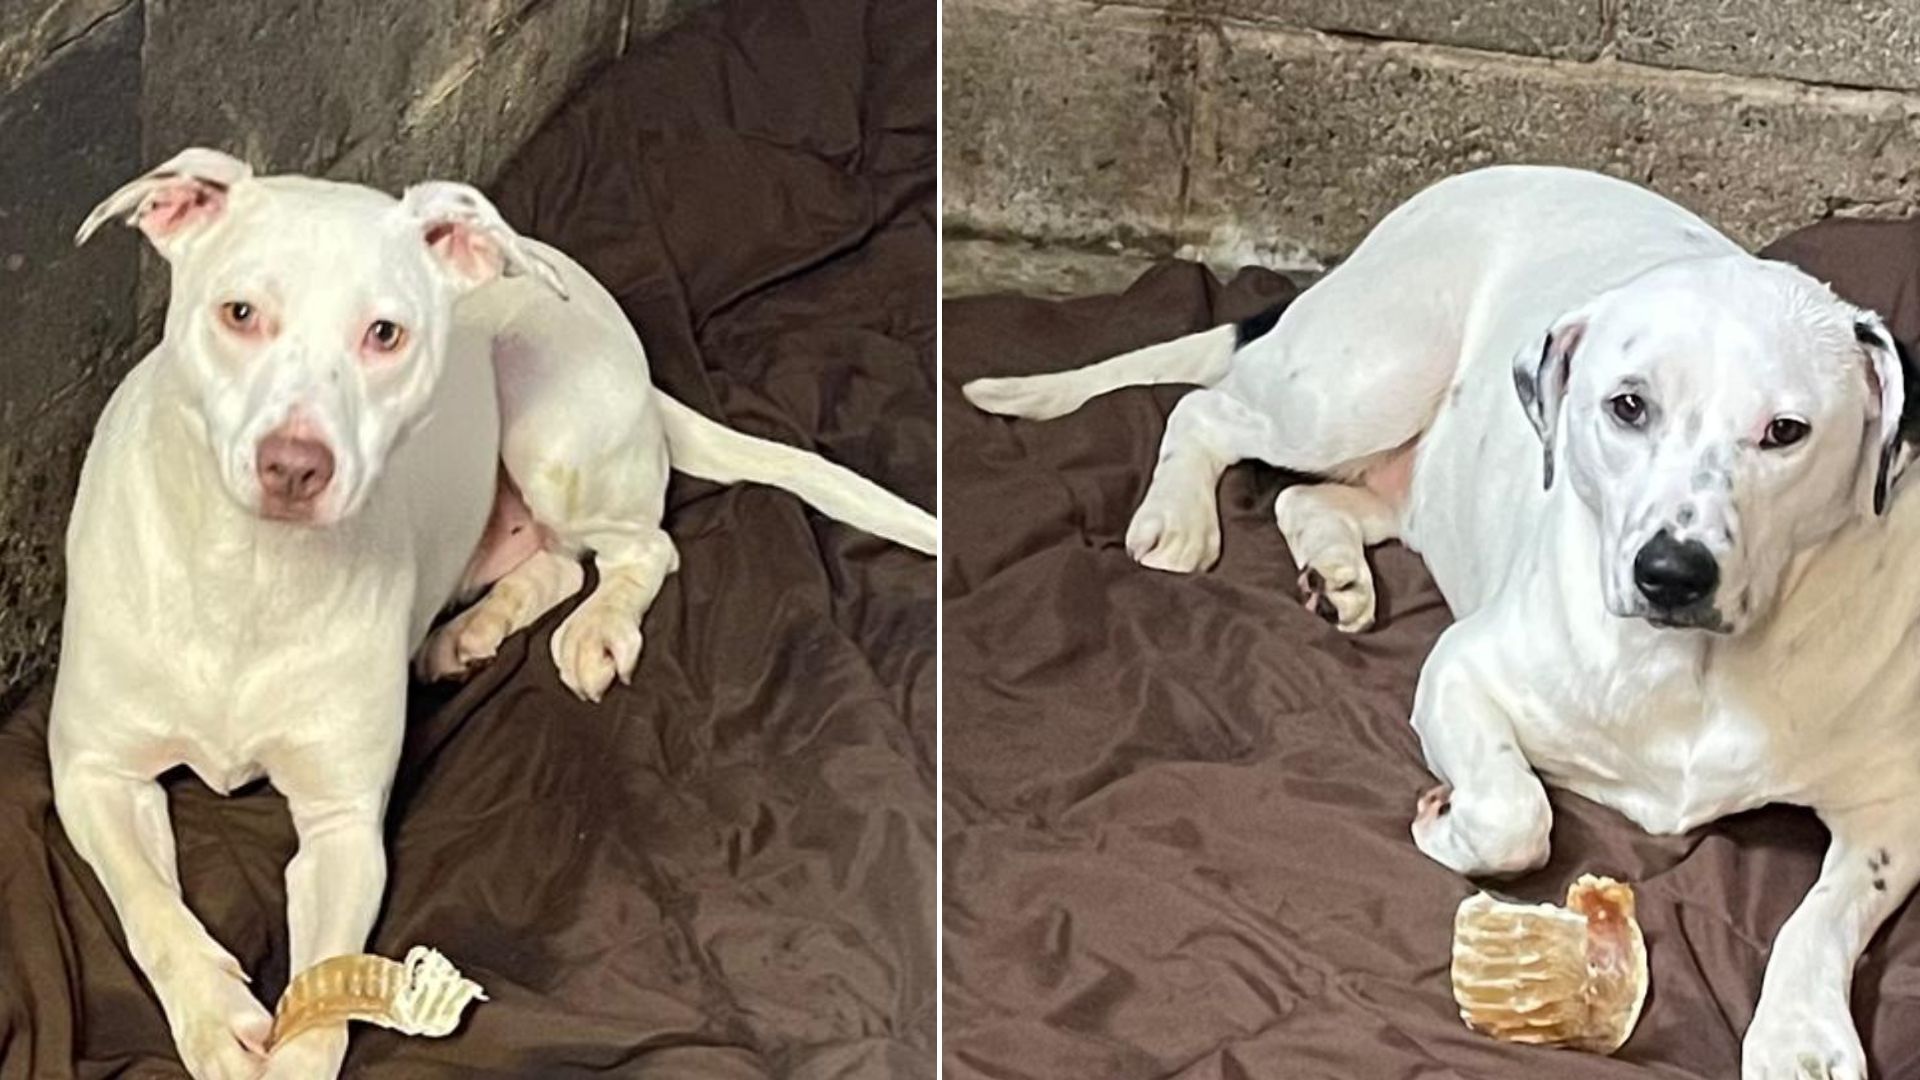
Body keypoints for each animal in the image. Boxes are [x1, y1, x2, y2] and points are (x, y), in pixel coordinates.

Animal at [52, 147, 936, 1068]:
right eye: (239, 313)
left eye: (385, 334)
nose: (294, 466)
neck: (249, 576)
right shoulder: (93, 773)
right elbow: (153, 909)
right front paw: (216, 1017)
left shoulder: (344, 829)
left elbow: (320, 1010)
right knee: (554, 563)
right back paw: (466, 634)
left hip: (549, 431)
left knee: (640, 548)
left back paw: (595, 631)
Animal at [967, 161, 1920, 1076]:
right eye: (1628, 406)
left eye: (1786, 431)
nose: (1672, 573)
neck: (1695, 669)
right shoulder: (1462, 670)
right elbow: (1515, 813)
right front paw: (1446, 822)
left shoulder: (1895, 806)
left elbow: (1821, 913)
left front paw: (1800, 1034)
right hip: (1357, 388)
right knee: (1208, 412)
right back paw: (1180, 517)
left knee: (1313, 498)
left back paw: (1335, 570)